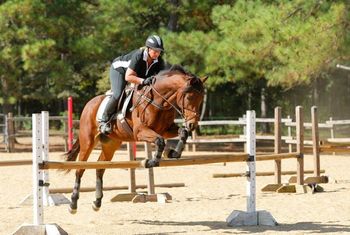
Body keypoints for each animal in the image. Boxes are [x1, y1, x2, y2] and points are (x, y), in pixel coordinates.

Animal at [64, 65, 206, 214]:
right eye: (189, 97)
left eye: (202, 98)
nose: (192, 124)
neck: (159, 101)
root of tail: (89, 104)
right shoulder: (140, 131)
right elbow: (160, 141)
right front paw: (151, 161)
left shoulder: (166, 129)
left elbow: (182, 133)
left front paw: (174, 153)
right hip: (88, 141)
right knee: (80, 169)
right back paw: (73, 204)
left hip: (111, 144)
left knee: (100, 168)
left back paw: (97, 202)